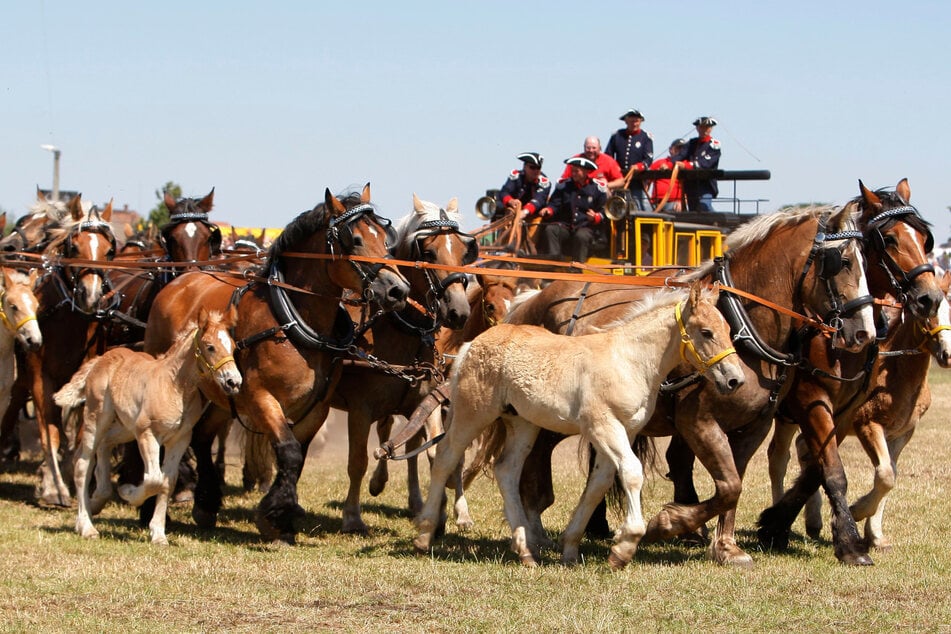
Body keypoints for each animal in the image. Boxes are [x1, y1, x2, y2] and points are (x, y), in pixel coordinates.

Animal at [54, 306, 242, 544]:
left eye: (233, 346)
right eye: (210, 347)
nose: (234, 382)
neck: (175, 386)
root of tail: (101, 359)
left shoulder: (179, 439)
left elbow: (167, 481)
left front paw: (159, 534)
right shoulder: (147, 434)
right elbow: (154, 478)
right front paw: (127, 492)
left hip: (125, 427)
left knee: (105, 444)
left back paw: (97, 500)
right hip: (97, 419)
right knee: (82, 463)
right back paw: (87, 526)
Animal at [141, 185, 410, 540]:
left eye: (383, 236)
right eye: (354, 239)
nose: (399, 290)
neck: (292, 319)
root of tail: (178, 283)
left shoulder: (315, 409)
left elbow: (297, 456)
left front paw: (281, 516)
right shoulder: (260, 397)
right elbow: (289, 451)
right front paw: (273, 515)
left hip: (221, 396)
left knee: (202, 436)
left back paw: (207, 502)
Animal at [412, 282, 748, 568]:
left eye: (728, 329)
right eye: (706, 332)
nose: (735, 380)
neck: (628, 360)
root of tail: (469, 346)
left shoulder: (624, 431)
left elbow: (598, 485)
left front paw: (572, 548)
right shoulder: (604, 426)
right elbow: (631, 473)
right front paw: (626, 545)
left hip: (523, 424)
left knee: (506, 470)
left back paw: (526, 551)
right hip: (473, 413)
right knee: (445, 457)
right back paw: (424, 534)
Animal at [484, 201, 876, 564]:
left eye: (866, 260)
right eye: (842, 261)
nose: (864, 332)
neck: (742, 327)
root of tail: (533, 298)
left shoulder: (756, 425)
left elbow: (735, 484)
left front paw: (726, 547)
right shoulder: (697, 422)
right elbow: (728, 485)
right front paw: (669, 524)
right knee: (531, 467)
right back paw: (535, 533)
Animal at [760, 178, 944, 564]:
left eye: (924, 239)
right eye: (890, 239)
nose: (930, 298)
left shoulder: (846, 410)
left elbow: (819, 467)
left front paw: (781, 521)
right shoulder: (811, 399)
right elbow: (828, 466)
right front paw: (846, 536)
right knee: (777, 457)